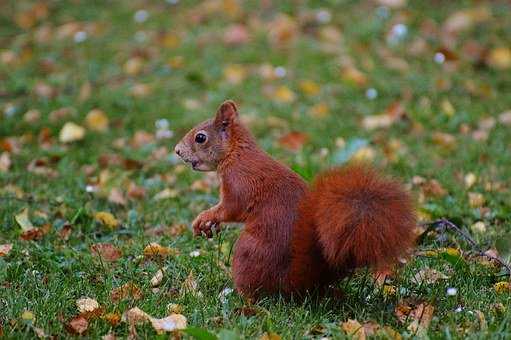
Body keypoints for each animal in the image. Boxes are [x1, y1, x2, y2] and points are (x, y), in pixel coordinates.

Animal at [175, 99, 416, 298]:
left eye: (200, 138)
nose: (177, 151)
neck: (236, 154)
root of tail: (295, 282)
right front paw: (210, 226)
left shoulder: (238, 183)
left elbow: (231, 209)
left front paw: (204, 217)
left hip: (247, 252)